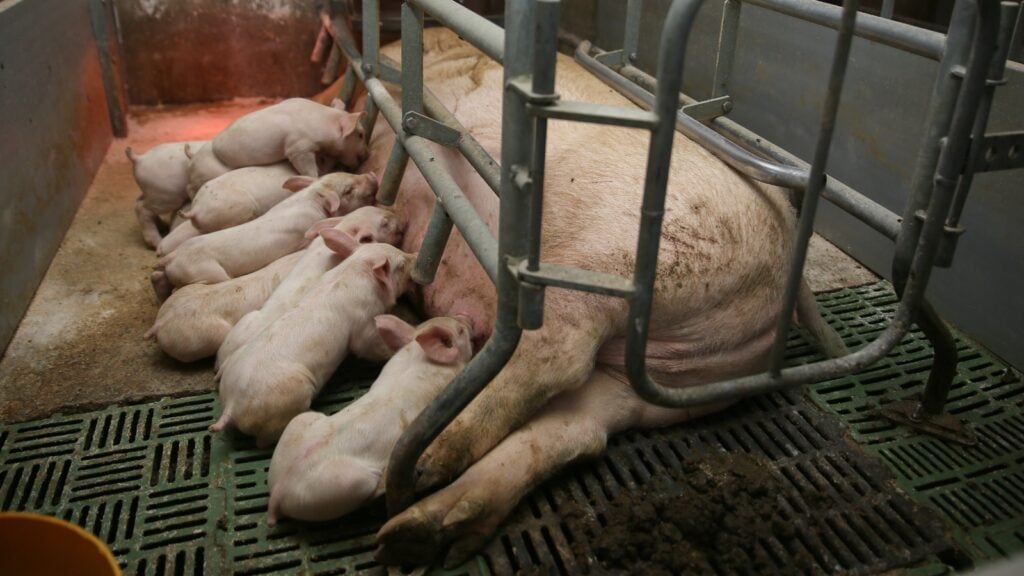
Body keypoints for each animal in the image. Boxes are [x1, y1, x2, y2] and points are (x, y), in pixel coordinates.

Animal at [370, 29, 815, 561]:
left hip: (601, 271)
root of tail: (781, 287)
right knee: (577, 430)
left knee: (551, 356)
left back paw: (416, 469)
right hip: (654, 385)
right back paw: (415, 535)